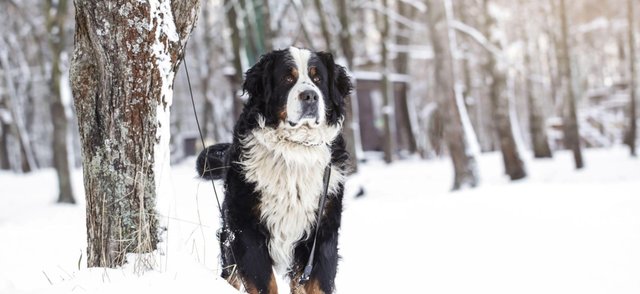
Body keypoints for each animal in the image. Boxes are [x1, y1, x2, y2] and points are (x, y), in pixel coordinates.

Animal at [198, 47, 352, 292]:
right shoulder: (246, 231)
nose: (310, 95)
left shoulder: (322, 232)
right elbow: (265, 283)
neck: (295, 150)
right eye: (287, 78)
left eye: (318, 78)